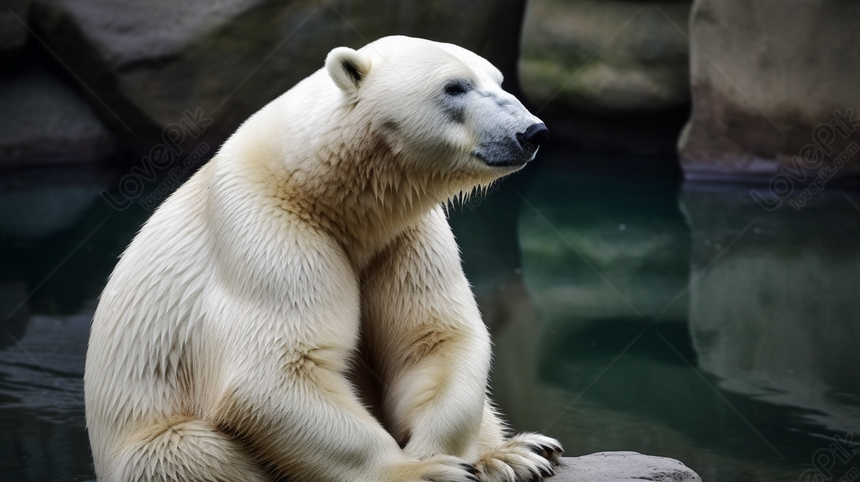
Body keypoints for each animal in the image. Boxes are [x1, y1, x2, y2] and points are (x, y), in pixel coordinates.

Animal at [85, 35, 556, 480]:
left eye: (499, 80)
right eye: (454, 86)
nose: (532, 132)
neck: (320, 186)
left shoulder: (404, 235)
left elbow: (433, 339)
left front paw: (452, 455)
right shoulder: (264, 229)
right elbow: (278, 371)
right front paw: (421, 471)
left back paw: (519, 454)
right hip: (150, 442)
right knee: (192, 454)